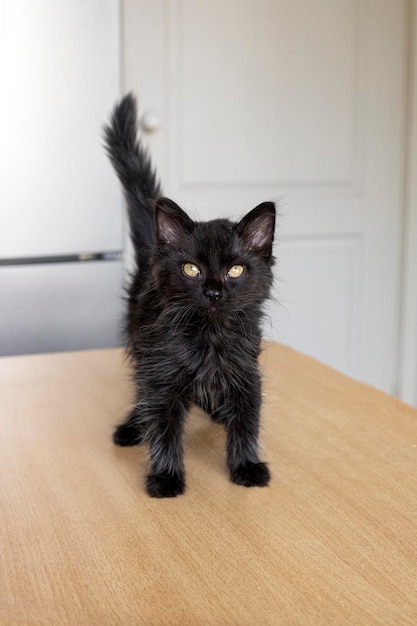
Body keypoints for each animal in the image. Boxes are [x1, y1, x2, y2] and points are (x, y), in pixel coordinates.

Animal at [103, 92, 274, 494]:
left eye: (235, 270)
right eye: (192, 269)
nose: (213, 291)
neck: (209, 336)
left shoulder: (247, 373)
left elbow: (247, 422)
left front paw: (246, 466)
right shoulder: (162, 376)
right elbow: (164, 428)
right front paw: (166, 479)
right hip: (142, 348)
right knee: (142, 395)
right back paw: (132, 426)